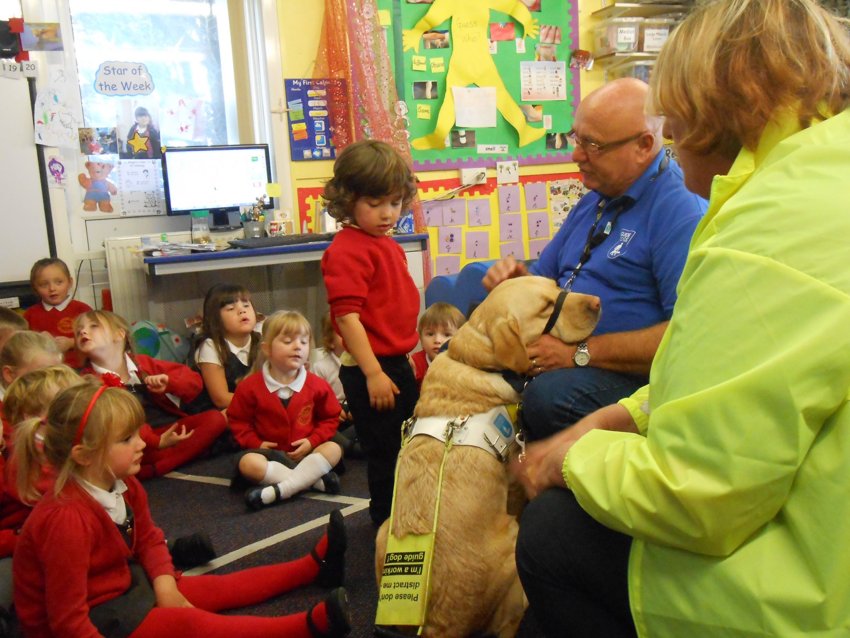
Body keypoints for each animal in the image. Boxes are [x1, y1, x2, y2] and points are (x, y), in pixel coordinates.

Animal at [374, 278, 600, 638]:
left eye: (556, 287)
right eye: (544, 308)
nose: (597, 302)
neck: (476, 360)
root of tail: (439, 625)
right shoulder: (515, 475)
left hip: (383, 531)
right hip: (512, 541)